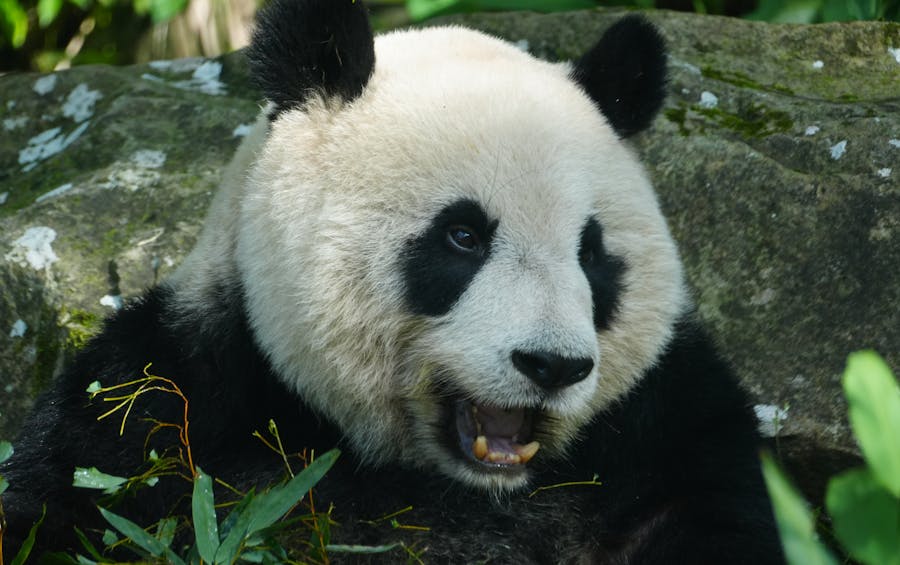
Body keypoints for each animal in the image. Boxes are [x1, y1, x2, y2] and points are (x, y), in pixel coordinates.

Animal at [1, 0, 785, 562]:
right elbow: (63, 498)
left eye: (591, 254)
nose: (553, 365)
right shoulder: (169, 403)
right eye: (463, 236)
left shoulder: (666, 434)